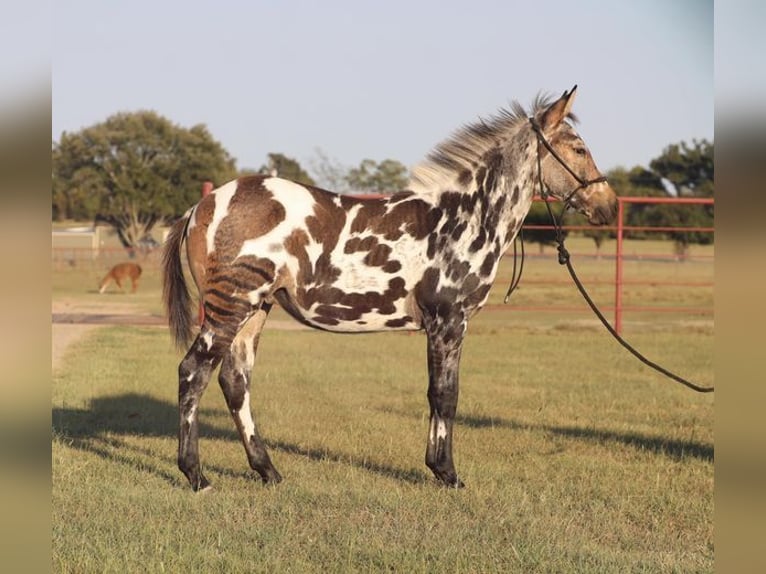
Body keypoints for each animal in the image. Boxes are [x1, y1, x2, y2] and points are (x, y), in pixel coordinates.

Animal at [160, 84, 616, 490]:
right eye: (579, 149)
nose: (608, 206)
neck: (464, 217)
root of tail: (202, 205)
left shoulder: (446, 327)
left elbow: (439, 394)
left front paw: (438, 467)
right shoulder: (449, 323)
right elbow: (445, 394)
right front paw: (446, 473)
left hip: (255, 311)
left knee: (235, 382)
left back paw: (267, 471)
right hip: (230, 307)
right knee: (193, 373)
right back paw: (196, 476)